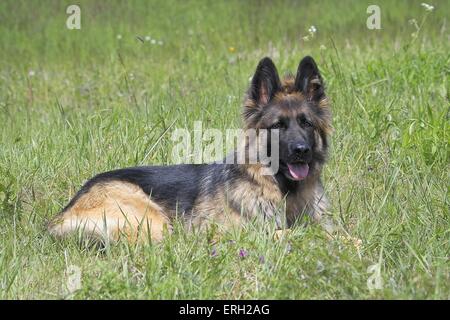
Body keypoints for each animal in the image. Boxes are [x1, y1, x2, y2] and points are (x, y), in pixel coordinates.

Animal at [47, 56, 332, 242]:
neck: (285, 190)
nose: (301, 150)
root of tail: (62, 214)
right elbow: (297, 233)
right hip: (153, 221)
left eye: (306, 123)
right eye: (278, 126)